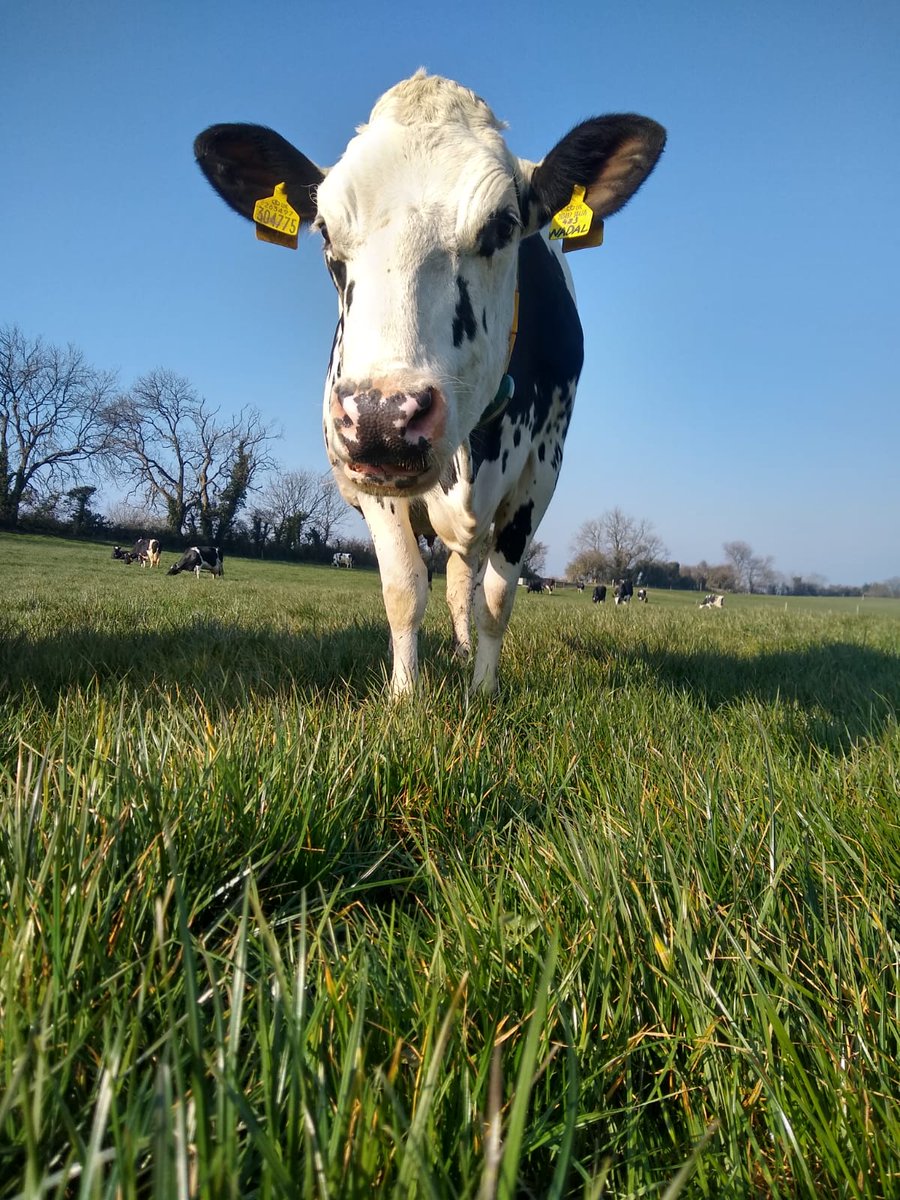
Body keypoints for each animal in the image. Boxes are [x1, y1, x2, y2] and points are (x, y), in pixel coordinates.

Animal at [194, 72, 664, 693]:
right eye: (325, 232)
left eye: (503, 225)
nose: (382, 416)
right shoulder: (378, 480)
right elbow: (405, 590)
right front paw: (404, 695)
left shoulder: (539, 473)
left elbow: (495, 598)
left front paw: (484, 691)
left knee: (466, 578)